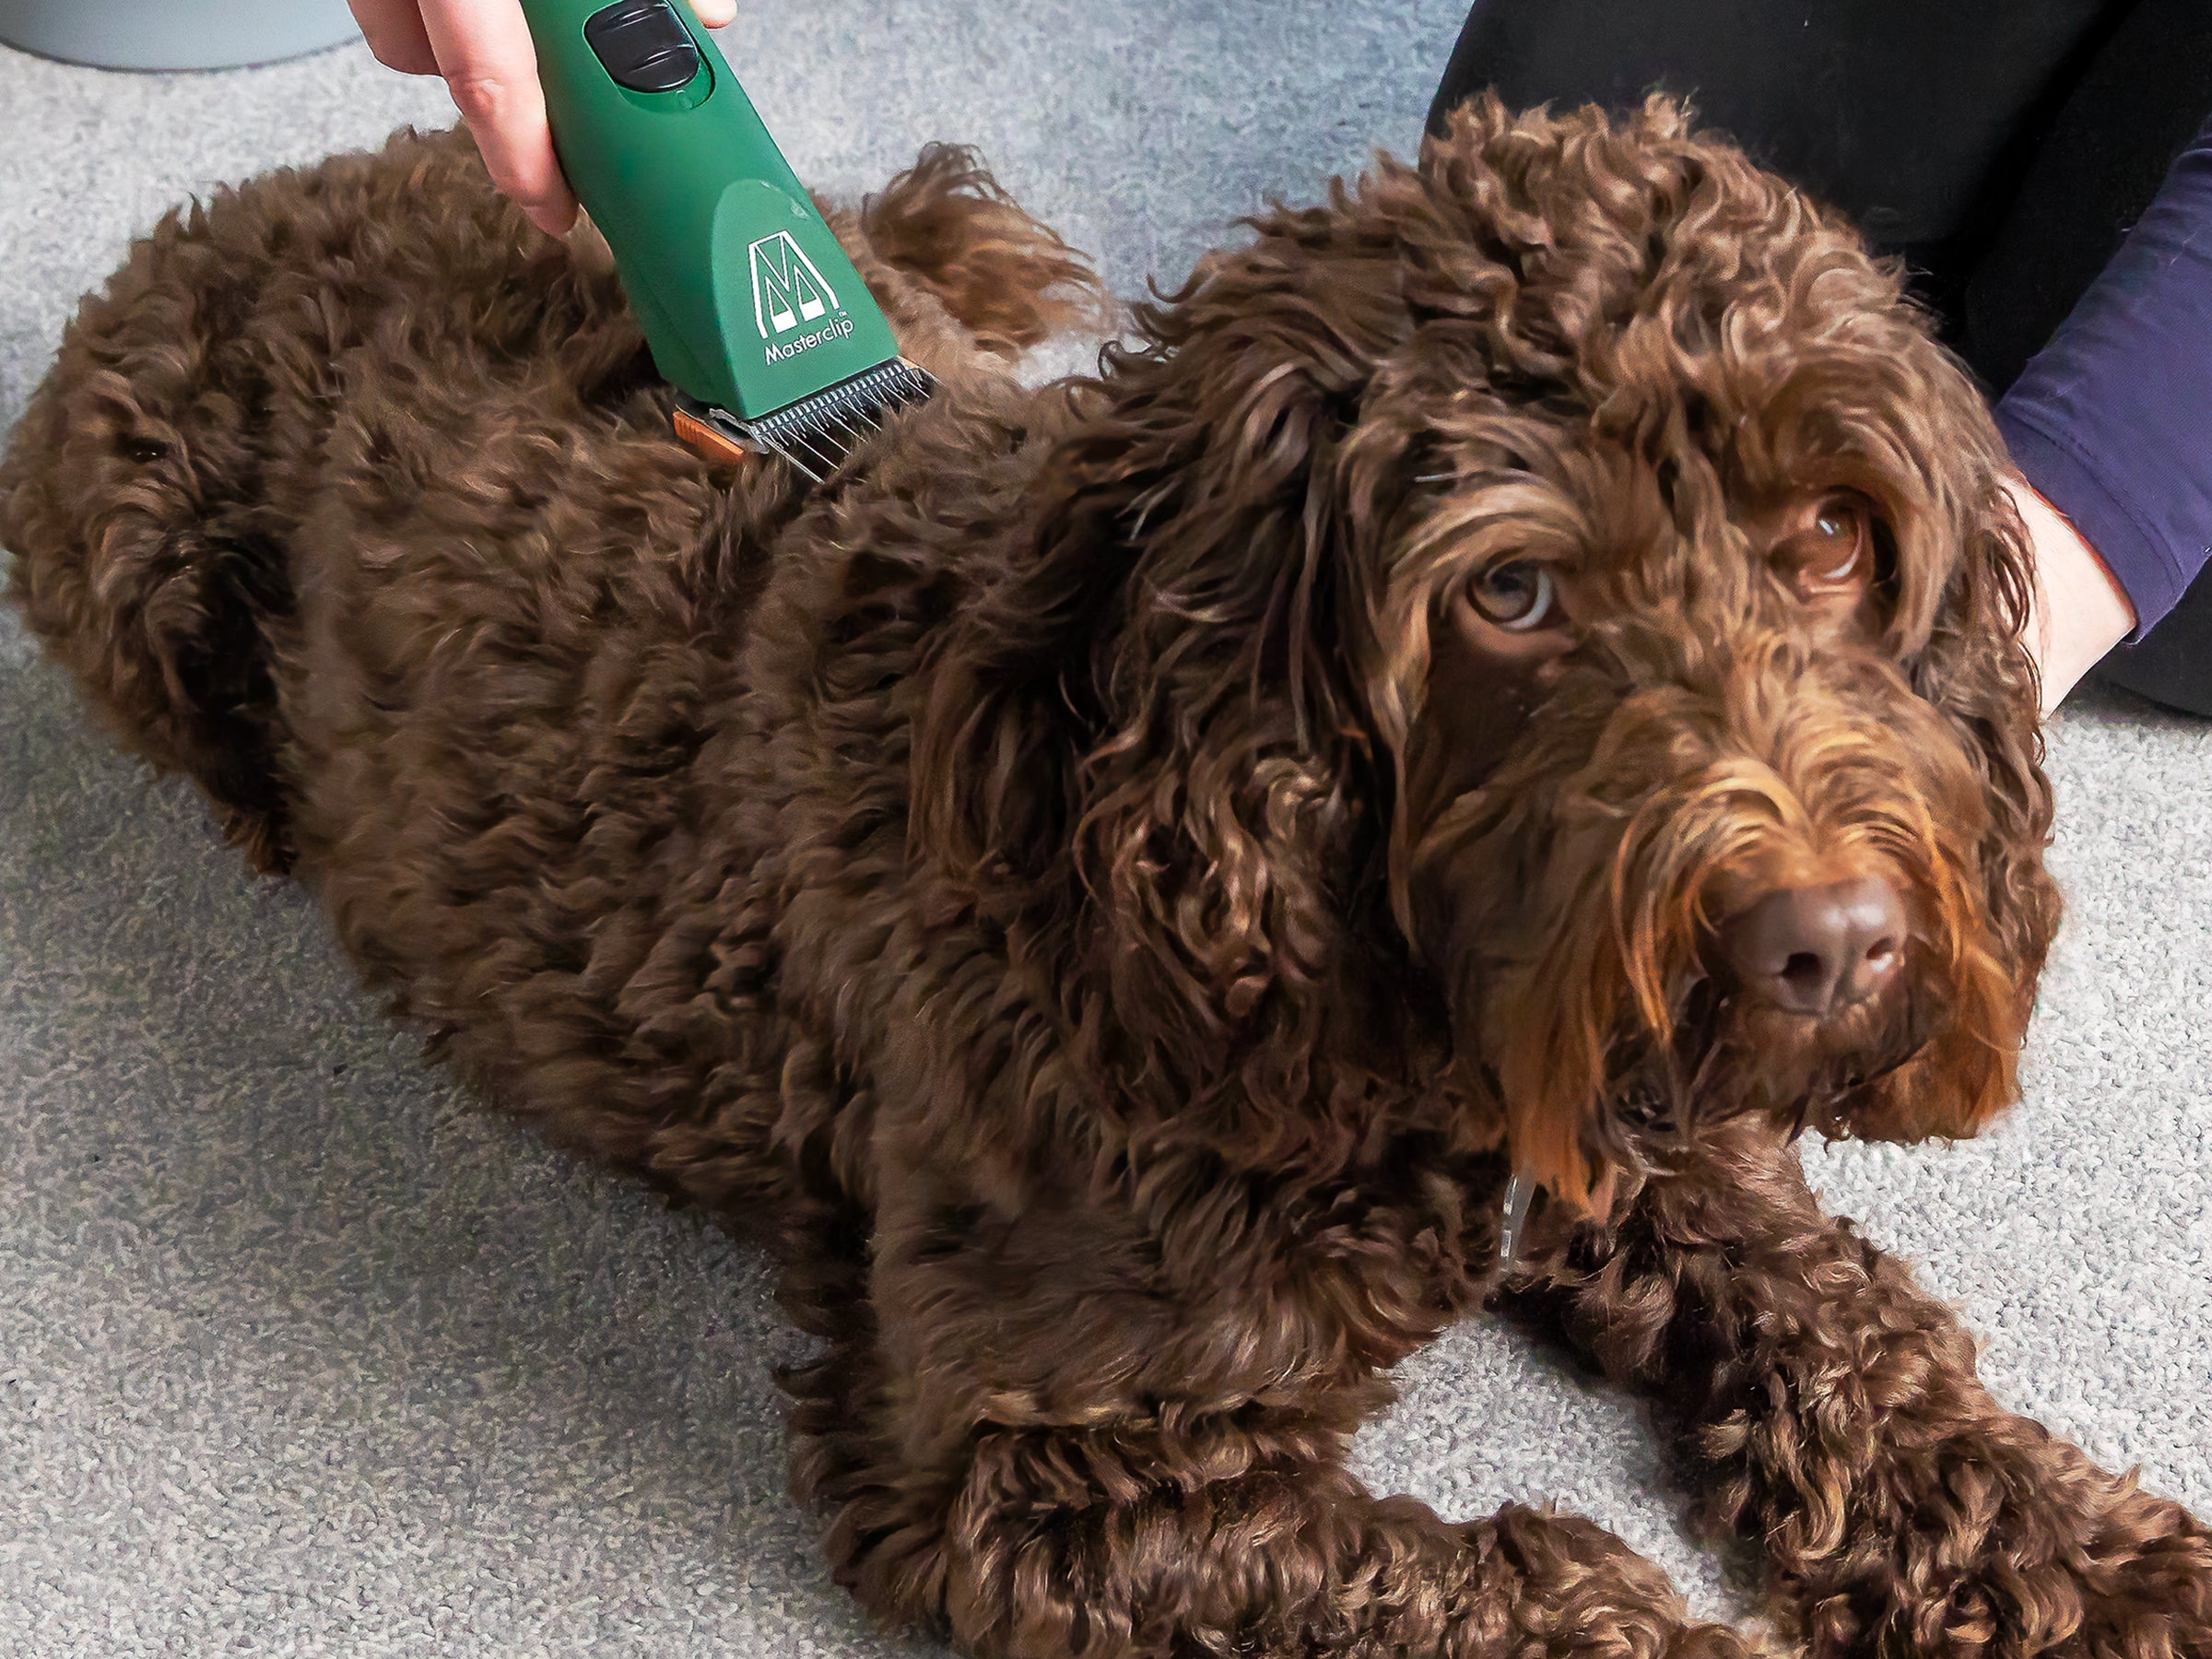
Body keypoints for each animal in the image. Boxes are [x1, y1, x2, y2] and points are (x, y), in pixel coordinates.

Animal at [4, 97, 2212, 1659]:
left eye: (1835, 533)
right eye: (1510, 593)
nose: (1825, 949)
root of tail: (259, 186)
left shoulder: (1665, 1143)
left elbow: (1854, 1333)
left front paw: (2097, 1559)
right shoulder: (1057, 1477)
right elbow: (1517, 1591)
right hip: (117, 556)